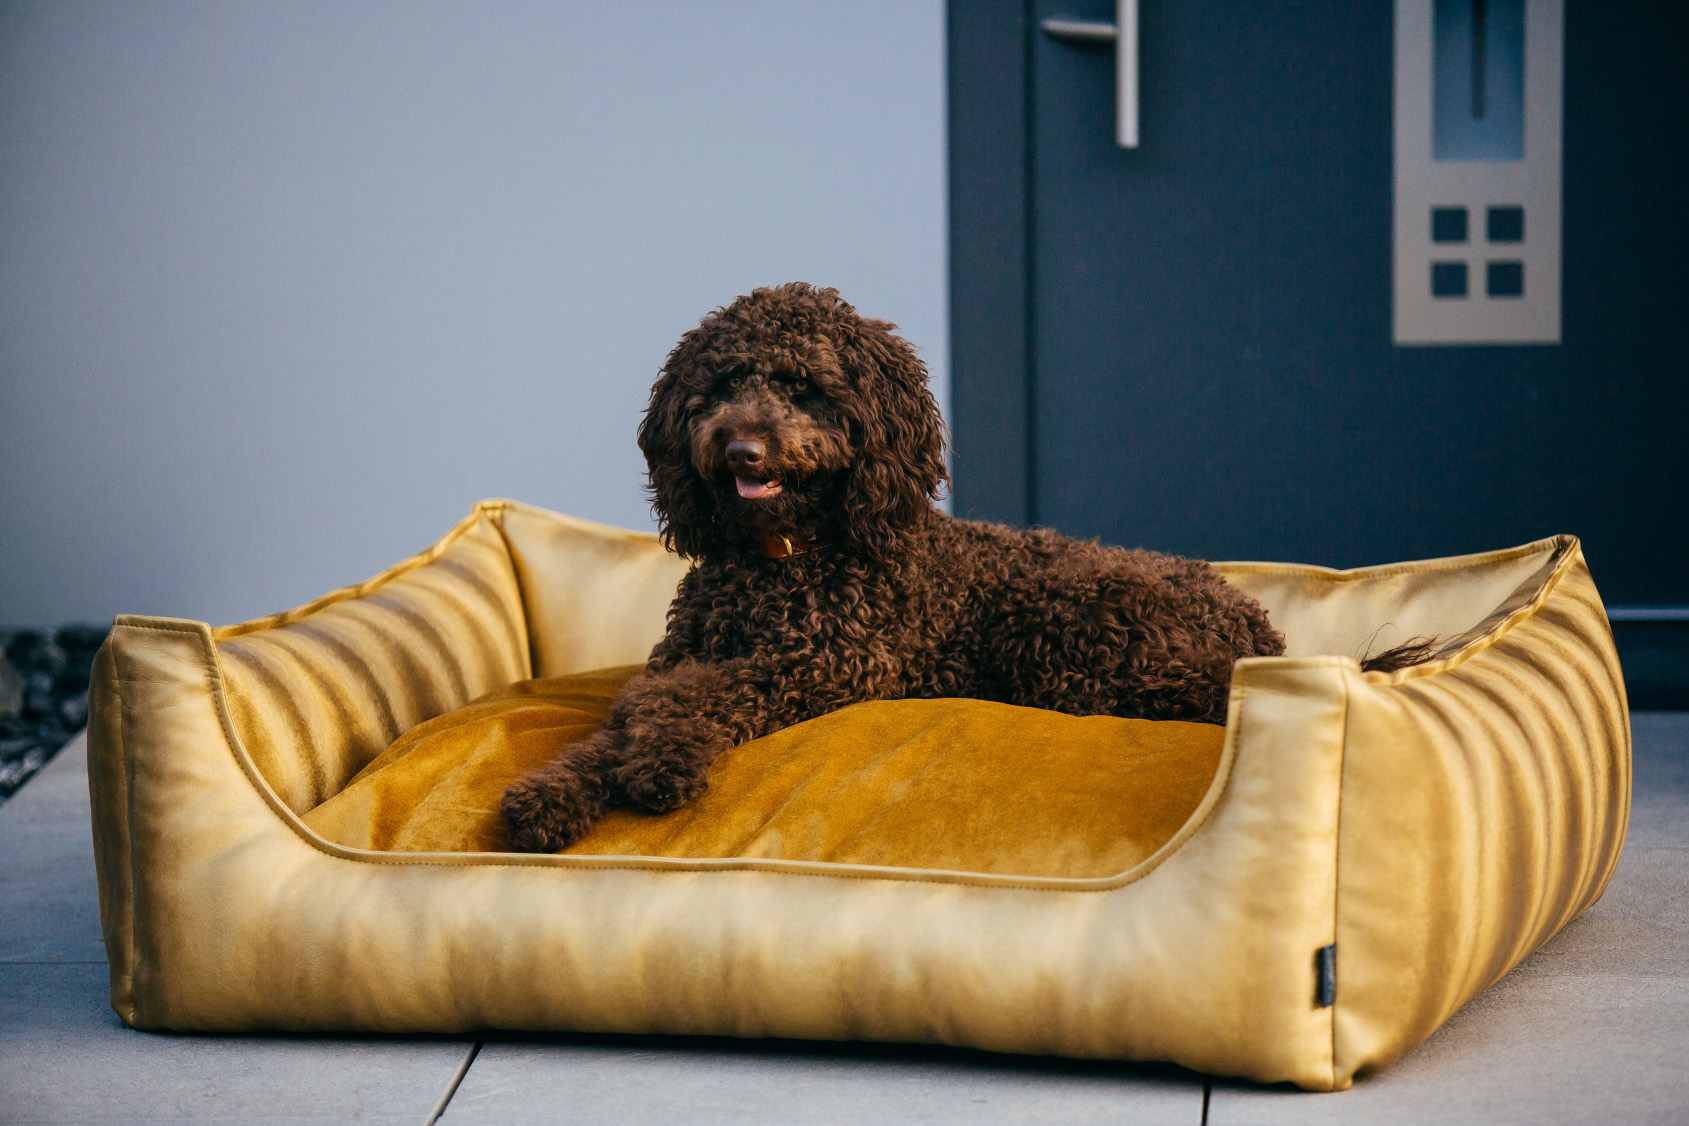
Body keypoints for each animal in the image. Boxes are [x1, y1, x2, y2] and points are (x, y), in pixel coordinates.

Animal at [502, 283, 1412, 852]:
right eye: (723, 381)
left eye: (805, 388)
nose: (738, 447)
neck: (781, 563)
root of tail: (1260, 628)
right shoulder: (694, 654)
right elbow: (625, 713)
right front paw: (550, 795)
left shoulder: (828, 662)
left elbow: (689, 698)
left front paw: (658, 764)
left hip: (1076, 623)